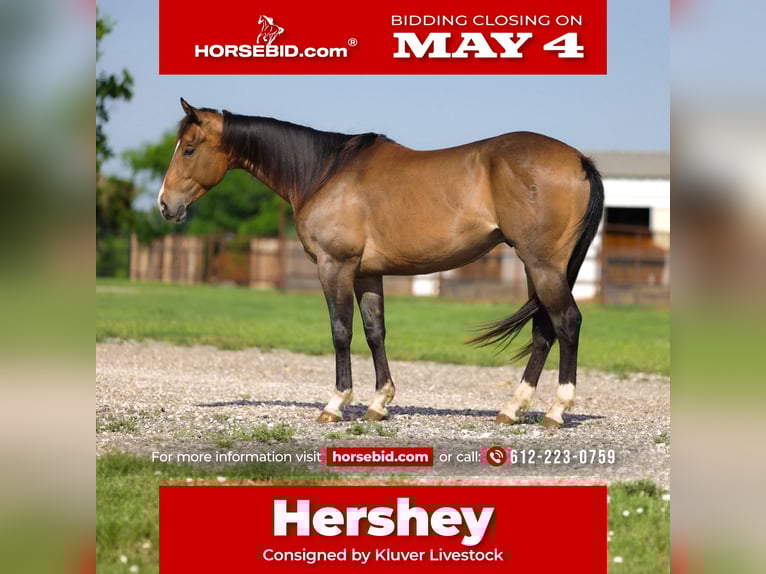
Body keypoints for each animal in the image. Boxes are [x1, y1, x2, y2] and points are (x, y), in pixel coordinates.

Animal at [158, 98, 604, 428]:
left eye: (190, 149)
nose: (165, 205)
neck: (325, 172)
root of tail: (579, 160)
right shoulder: (368, 274)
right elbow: (375, 333)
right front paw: (379, 402)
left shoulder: (334, 266)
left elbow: (341, 332)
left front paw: (336, 403)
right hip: (537, 268)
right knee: (543, 330)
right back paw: (512, 409)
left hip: (543, 266)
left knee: (567, 323)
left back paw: (556, 410)